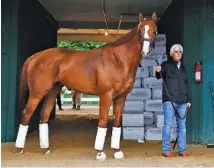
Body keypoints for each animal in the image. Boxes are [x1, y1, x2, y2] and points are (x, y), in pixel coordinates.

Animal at [14, 12, 156, 160]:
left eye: (154, 31)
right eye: (139, 32)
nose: (146, 52)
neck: (118, 60)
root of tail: (35, 56)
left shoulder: (121, 97)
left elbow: (117, 123)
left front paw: (117, 151)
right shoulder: (106, 95)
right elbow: (103, 121)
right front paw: (99, 153)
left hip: (51, 93)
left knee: (44, 116)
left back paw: (46, 149)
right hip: (37, 94)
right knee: (26, 114)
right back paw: (19, 149)